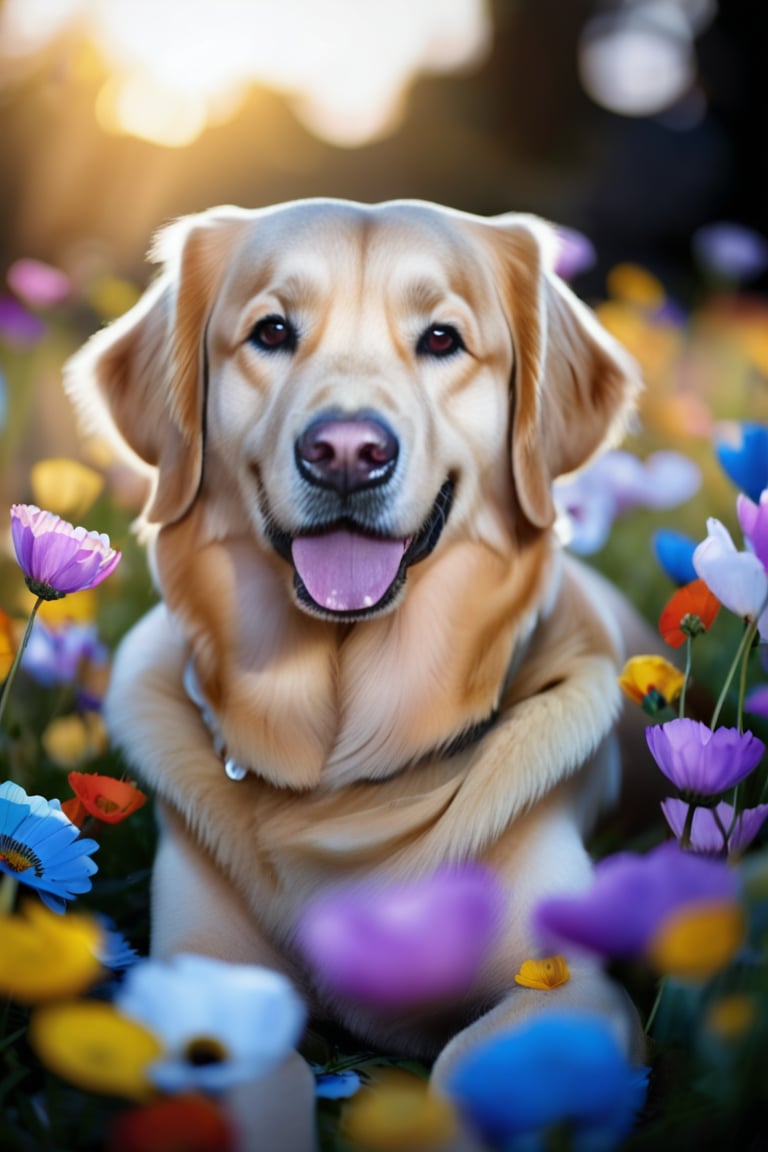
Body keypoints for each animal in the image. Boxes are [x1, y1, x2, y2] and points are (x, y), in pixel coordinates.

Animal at [67, 202, 654, 1147]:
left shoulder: (569, 988)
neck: (343, 768)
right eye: (272, 331)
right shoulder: (200, 983)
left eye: (443, 339)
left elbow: (468, 1069)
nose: (346, 451)